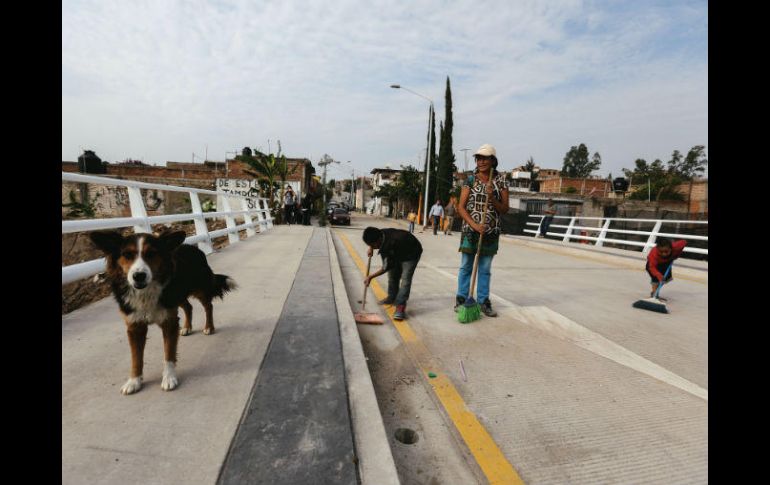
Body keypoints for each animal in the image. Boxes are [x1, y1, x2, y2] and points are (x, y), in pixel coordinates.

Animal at [89, 230, 236, 394]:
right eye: (127, 255)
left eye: (151, 254)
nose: (138, 276)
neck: (146, 293)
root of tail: (192, 247)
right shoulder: (134, 326)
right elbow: (136, 357)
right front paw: (134, 380)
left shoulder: (169, 321)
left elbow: (169, 353)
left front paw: (169, 378)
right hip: (176, 295)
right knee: (188, 307)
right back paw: (187, 327)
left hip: (198, 288)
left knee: (208, 306)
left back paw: (209, 327)